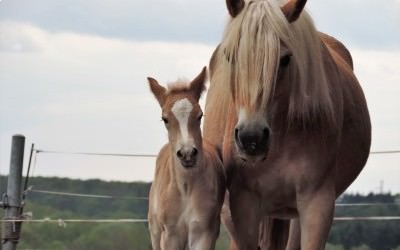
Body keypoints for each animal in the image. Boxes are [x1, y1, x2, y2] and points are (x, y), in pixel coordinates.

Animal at [147, 67, 225, 250]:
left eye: (200, 115)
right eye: (165, 119)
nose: (187, 154)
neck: (186, 188)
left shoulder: (203, 233)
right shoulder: (170, 235)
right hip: (155, 232)